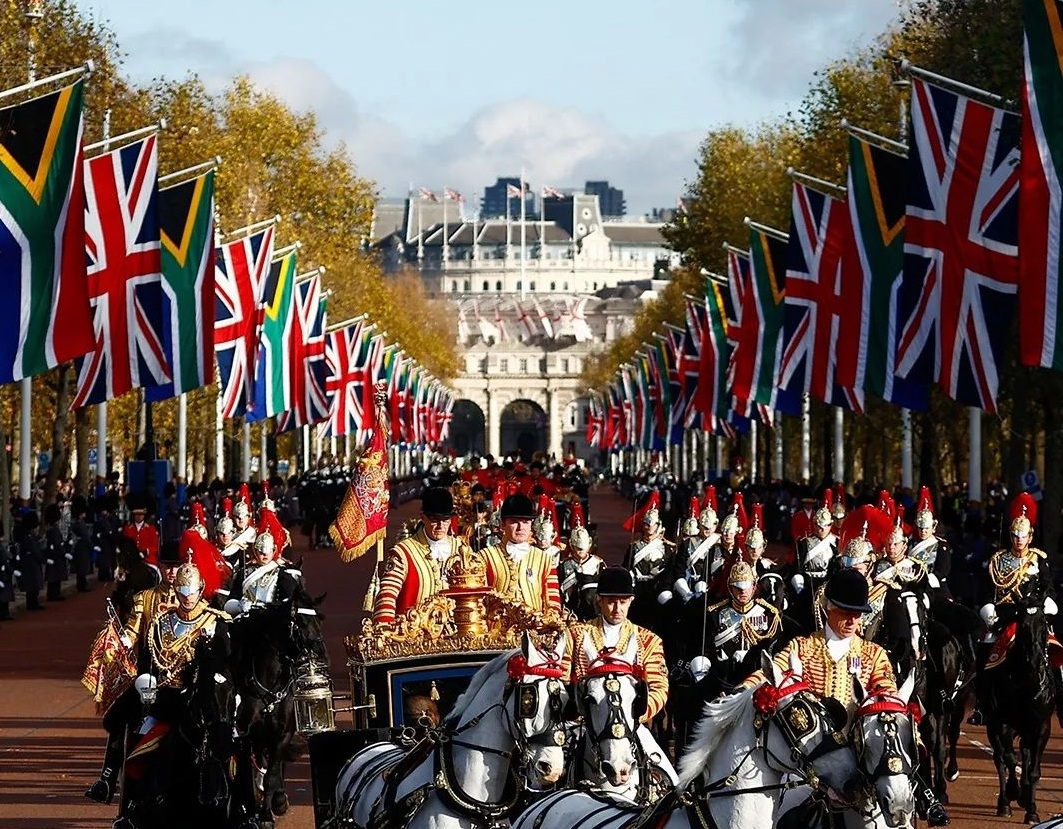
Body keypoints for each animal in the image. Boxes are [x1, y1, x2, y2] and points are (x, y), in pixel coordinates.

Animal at [231, 578, 327, 829]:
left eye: (319, 619)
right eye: (301, 621)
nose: (322, 655)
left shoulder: (283, 733)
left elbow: (272, 773)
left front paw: (271, 808)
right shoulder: (250, 734)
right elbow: (262, 768)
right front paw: (261, 812)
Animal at [977, 603, 1054, 820]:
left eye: (1043, 623)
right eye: (1023, 625)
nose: (1035, 659)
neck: (1026, 682)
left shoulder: (1042, 727)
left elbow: (1034, 769)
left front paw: (1032, 810)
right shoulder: (1002, 724)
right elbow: (1010, 759)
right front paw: (1013, 792)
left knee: (1025, 754)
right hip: (993, 726)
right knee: (1000, 759)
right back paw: (1004, 804)